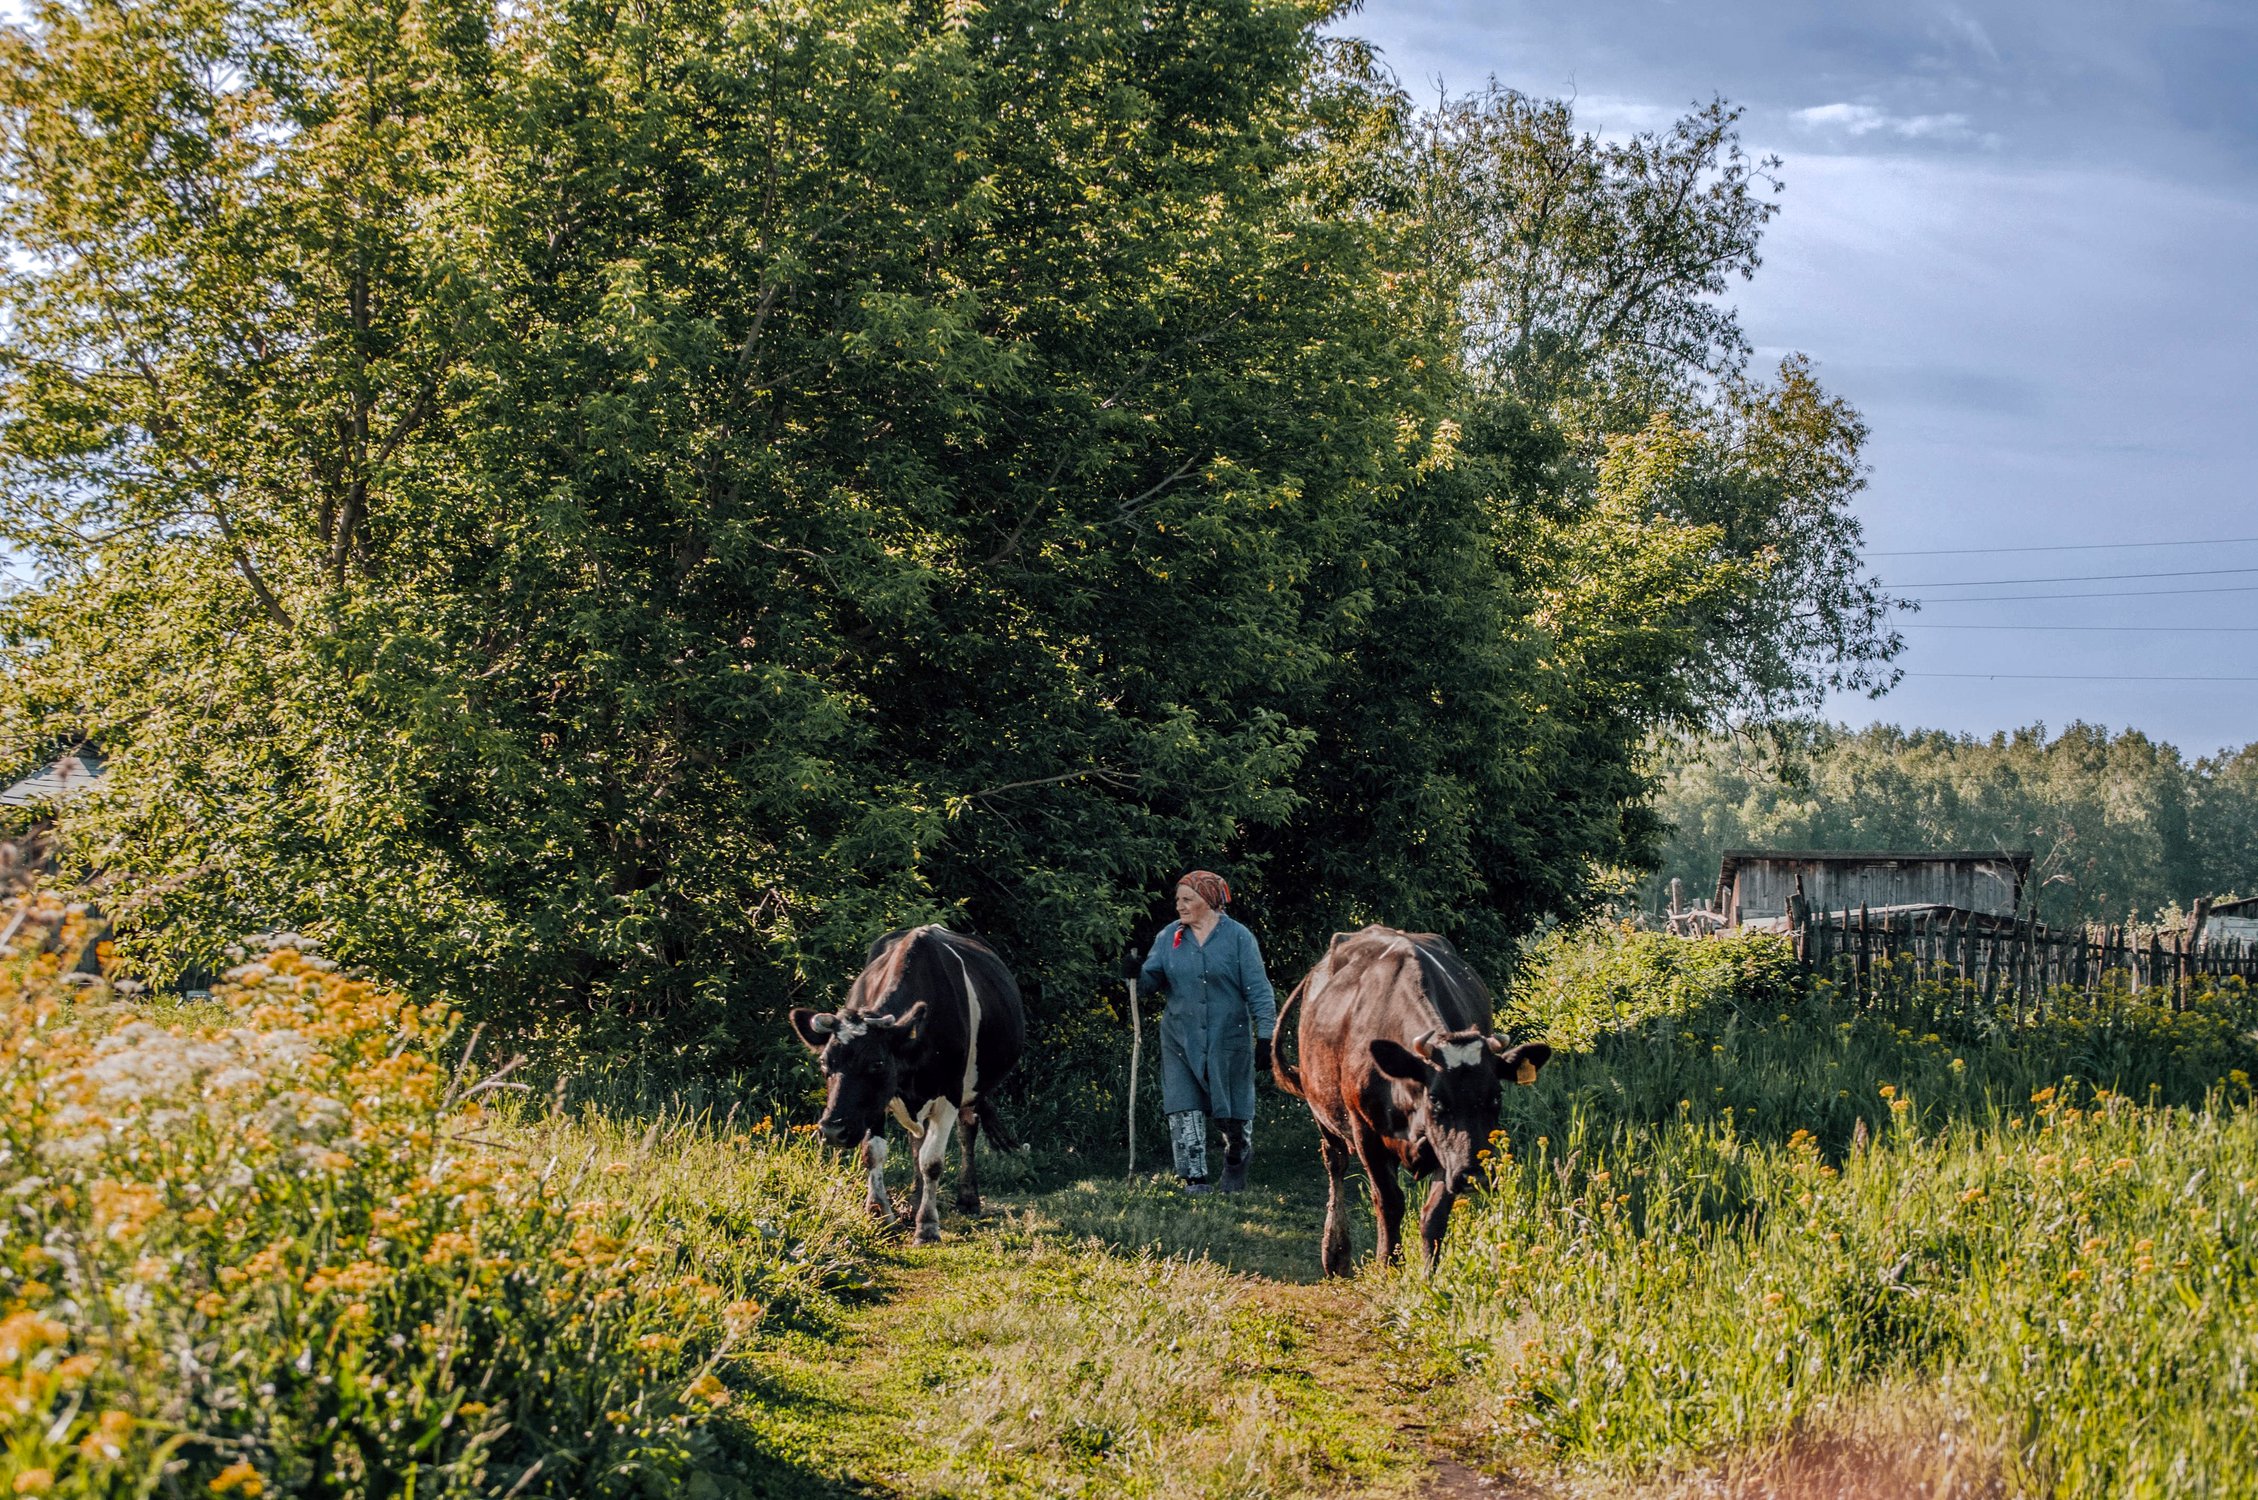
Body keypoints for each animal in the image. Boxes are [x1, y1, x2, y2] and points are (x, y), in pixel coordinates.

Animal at [781, 926, 1020, 1237]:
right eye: (824, 1063)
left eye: (877, 1064)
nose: (833, 1131)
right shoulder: (877, 1101)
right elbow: (874, 1152)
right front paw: (879, 1213)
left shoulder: (949, 1093)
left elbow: (933, 1161)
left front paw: (927, 1225)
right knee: (916, 1139)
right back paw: (916, 1197)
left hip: (972, 1089)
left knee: (966, 1131)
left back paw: (968, 1199)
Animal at [1282, 926, 1544, 1274]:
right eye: (1435, 1098)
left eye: (1496, 1096)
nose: (1474, 1174)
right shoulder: (1365, 1131)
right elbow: (1388, 1202)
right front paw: (1389, 1265)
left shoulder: (1446, 1149)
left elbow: (1434, 1213)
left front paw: (1429, 1274)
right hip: (1320, 1109)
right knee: (1334, 1162)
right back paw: (1335, 1254)